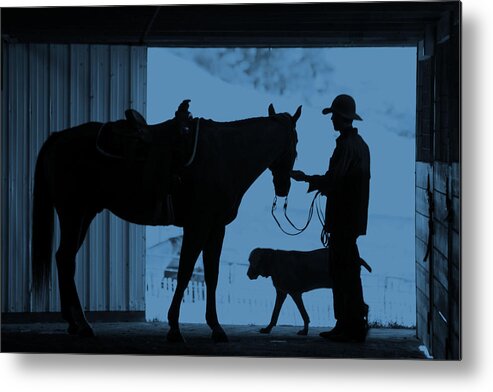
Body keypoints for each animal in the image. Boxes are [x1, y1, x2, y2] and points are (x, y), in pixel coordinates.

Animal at [31, 101, 300, 344]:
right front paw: (174, 328)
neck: (224, 156)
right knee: (66, 259)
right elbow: (184, 273)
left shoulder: (216, 228)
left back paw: (74, 323)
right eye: (296, 145)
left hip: (84, 214)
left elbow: (211, 276)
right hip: (73, 213)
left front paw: (215, 327)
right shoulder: (197, 226)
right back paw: (84, 325)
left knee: (64, 259)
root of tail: (57, 137)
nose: (284, 186)